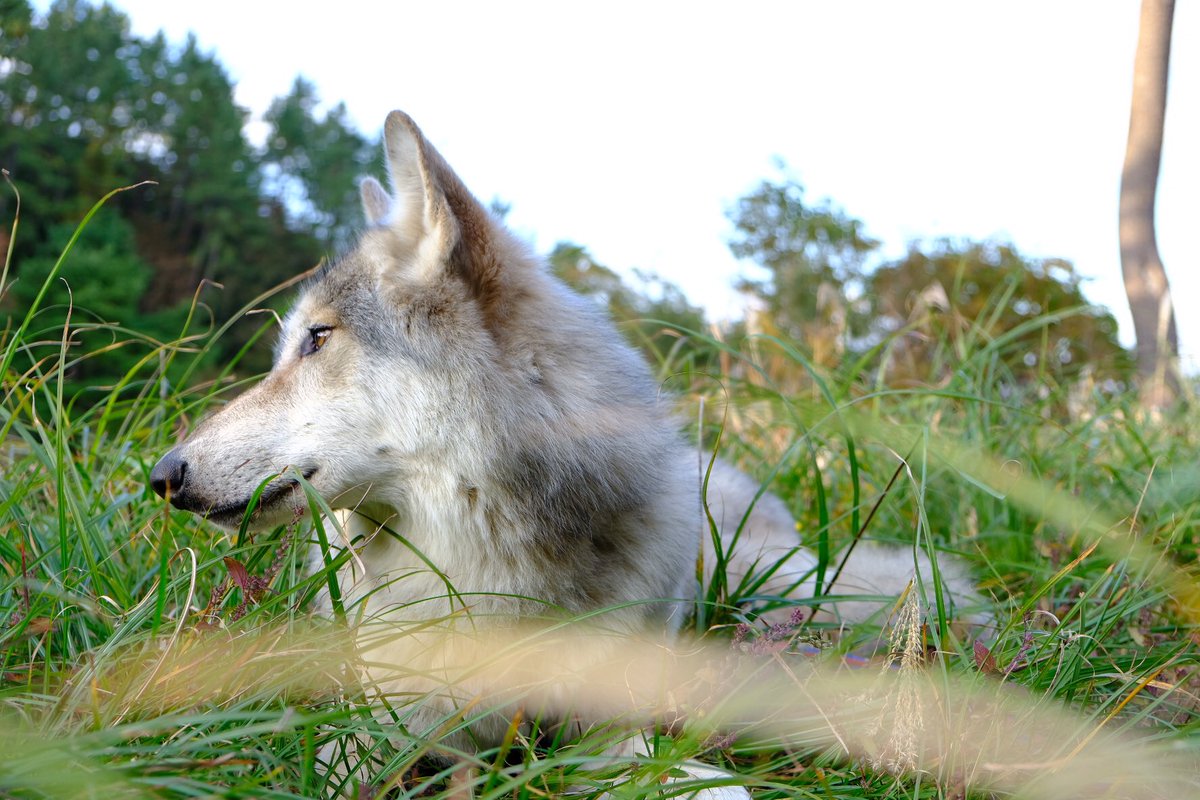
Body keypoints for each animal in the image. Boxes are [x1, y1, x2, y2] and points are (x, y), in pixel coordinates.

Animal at [147, 110, 974, 796]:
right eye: (290, 345)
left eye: (318, 340)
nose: (162, 475)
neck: (478, 561)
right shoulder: (384, 714)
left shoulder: (611, 722)